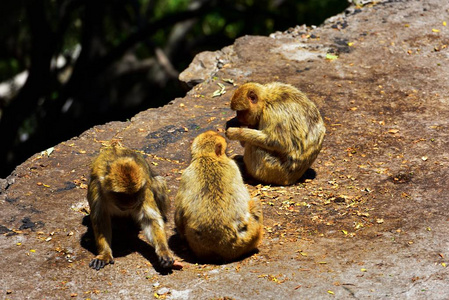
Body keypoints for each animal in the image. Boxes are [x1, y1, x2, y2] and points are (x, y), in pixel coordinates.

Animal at [86, 142, 174, 270]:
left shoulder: (144, 189)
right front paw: (105, 254)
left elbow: (150, 219)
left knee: (158, 183)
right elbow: (100, 220)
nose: (132, 202)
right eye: (123, 196)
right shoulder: (96, 188)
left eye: (135, 194)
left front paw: (163, 250)